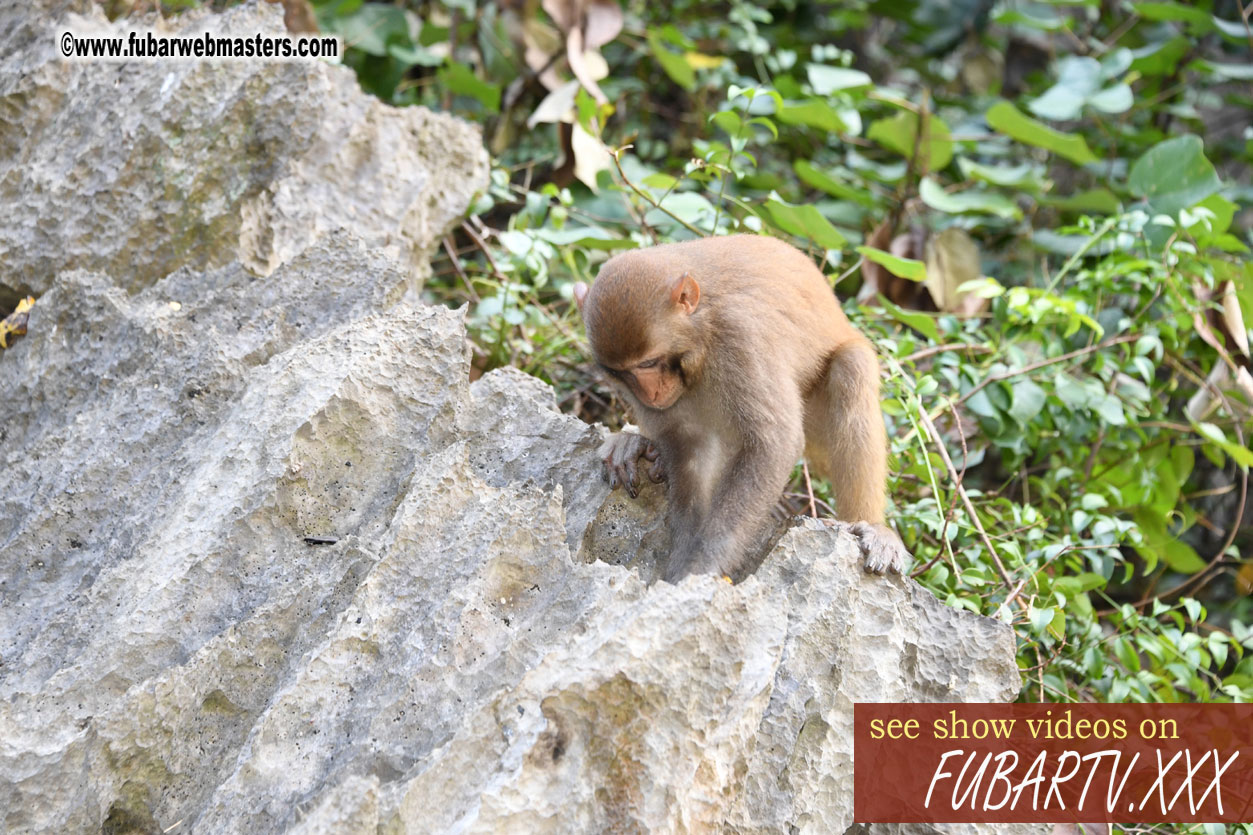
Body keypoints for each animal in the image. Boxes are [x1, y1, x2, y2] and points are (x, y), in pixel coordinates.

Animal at [573, 230, 912, 581]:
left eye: (649, 363)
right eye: (619, 373)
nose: (650, 394)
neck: (701, 336)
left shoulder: (739, 336)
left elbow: (774, 444)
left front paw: (703, 565)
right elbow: (690, 453)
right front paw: (683, 561)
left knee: (851, 368)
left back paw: (871, 526)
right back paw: (637, 445)